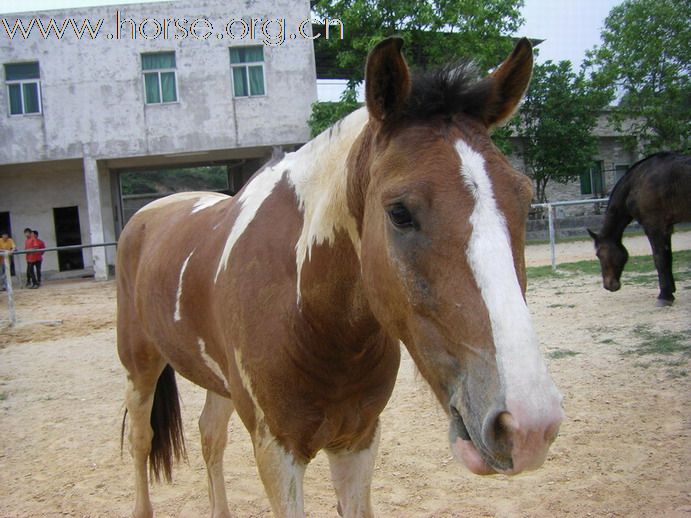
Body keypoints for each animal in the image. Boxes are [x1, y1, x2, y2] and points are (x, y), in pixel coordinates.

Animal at [117, 37, 564, 518]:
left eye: (524, 198)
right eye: (399, 212)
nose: (528, 425)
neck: (309, 314)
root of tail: (147, 214)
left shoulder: (358, 441)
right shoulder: (276, 452)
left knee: (209, 436)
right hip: (140, 367)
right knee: (141, 442)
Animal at [588, 153, 691, 308]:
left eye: (599, 255)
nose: (609, 286)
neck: (638, 181)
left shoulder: (654, 226)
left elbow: (660, 259)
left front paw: (664, 296)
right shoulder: (666, 227)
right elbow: (668, 257)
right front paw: (671, 290)